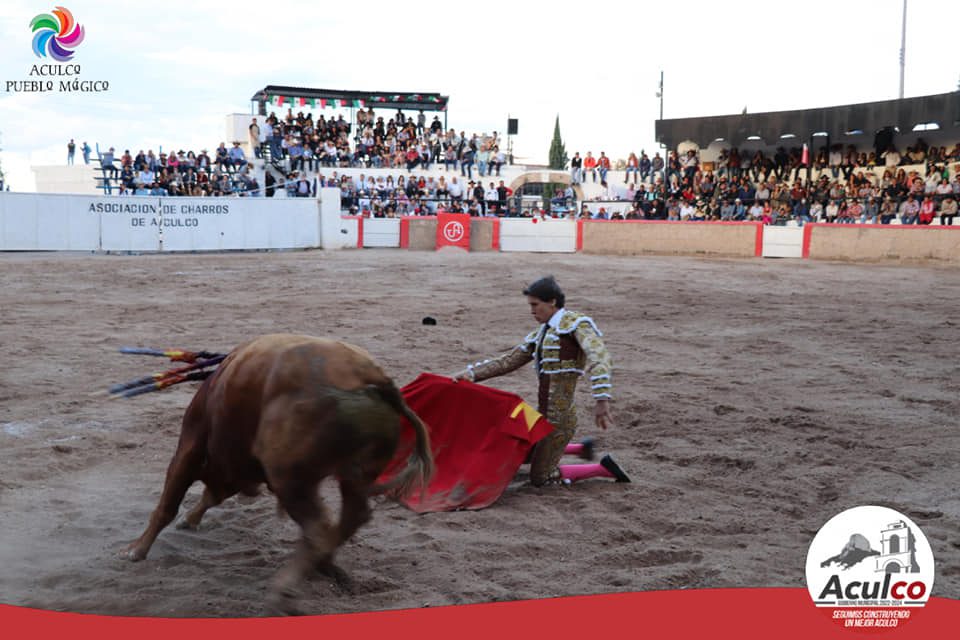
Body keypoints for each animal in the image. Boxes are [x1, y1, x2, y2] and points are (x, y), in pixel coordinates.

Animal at [122, 332, 434, 612]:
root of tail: (374, 380)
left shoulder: (190, 448)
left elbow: (167, 504)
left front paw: (136, 550)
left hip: (288, 478)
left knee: (319, 528)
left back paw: (285, 593)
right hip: (352, 477)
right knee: (349, 517)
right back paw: (322, 567)